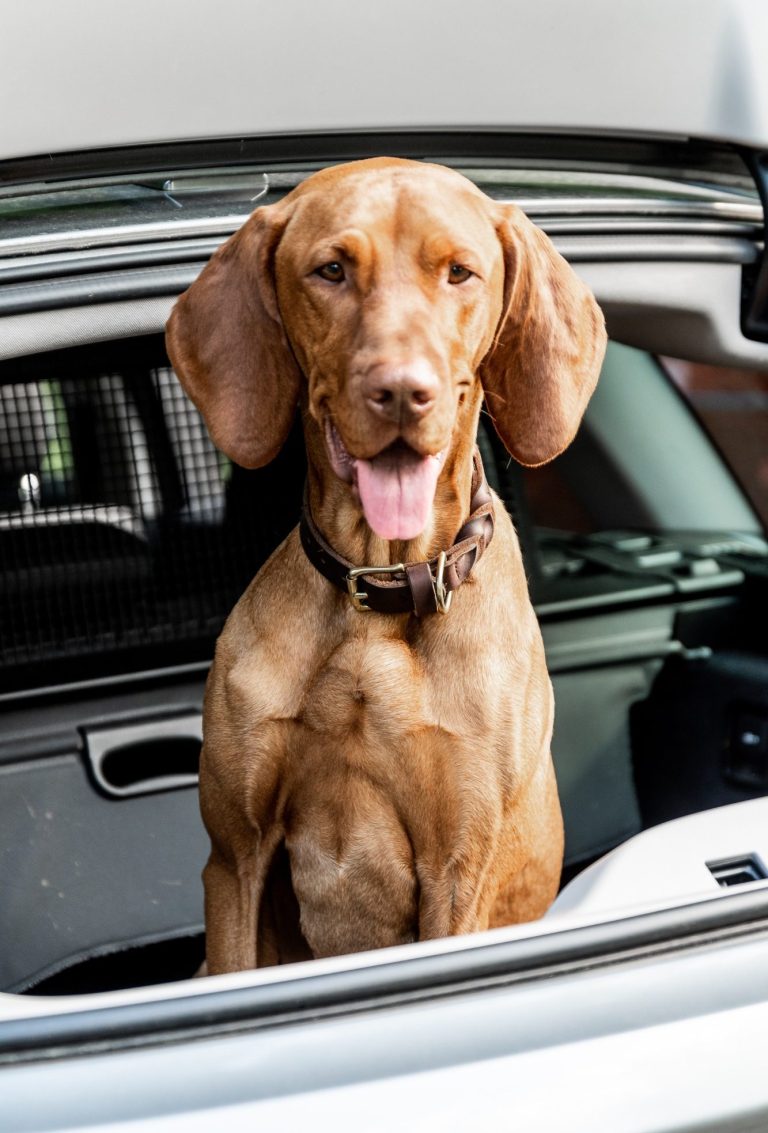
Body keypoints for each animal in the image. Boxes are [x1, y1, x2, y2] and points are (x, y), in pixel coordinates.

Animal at [166, 159, 607, 974]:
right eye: (332, 270)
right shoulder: (234, 857)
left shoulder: (458, 872)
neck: (380, 591)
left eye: (459, 272)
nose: (402, 391)